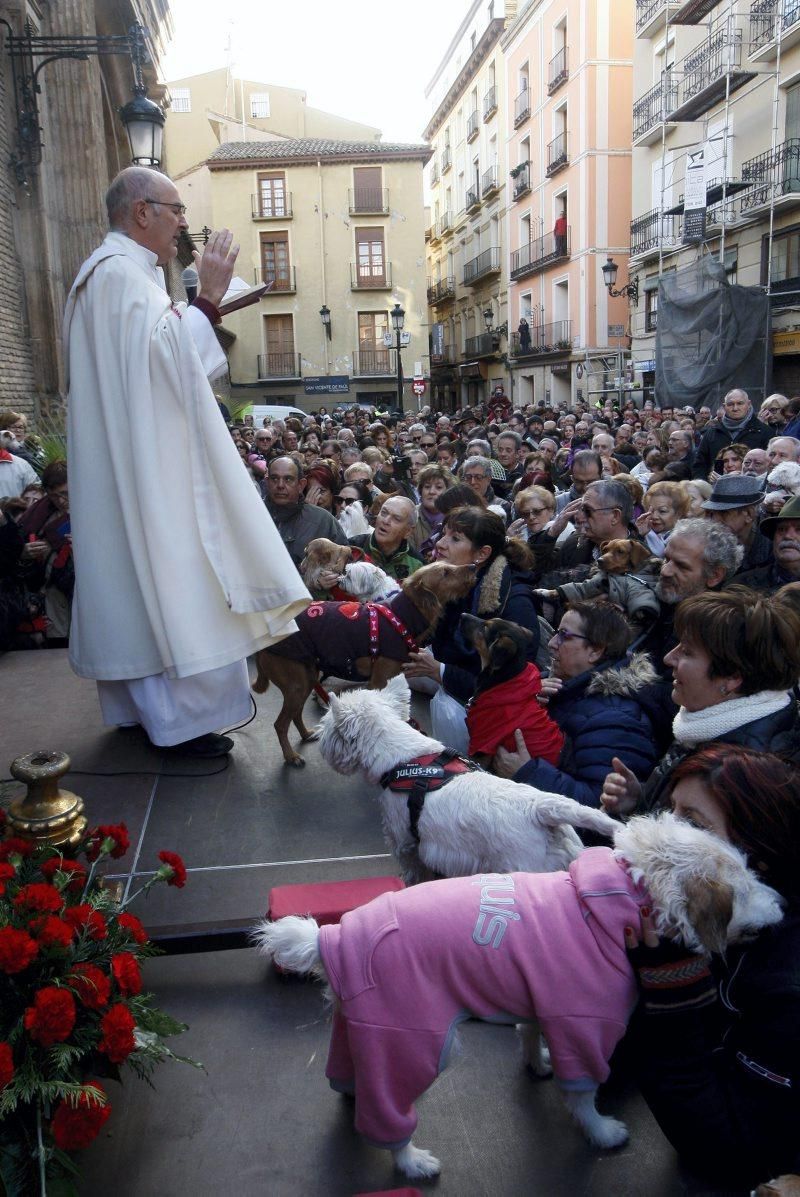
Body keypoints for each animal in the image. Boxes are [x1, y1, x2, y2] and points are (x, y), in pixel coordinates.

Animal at [255, 813, 780, 1177]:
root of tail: (334, 937)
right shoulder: (585, 1027)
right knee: (386, 1118)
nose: (782, 902)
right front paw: (600, 1132)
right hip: (411, 1041)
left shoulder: (539, 1001)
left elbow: (529, 1035)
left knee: (348, 1078)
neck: (626, 897)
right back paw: (412, 1162)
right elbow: (583, 1093)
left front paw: (537, 1064)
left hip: (359, 1028)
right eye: (744, 887)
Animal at [316, 679, 617, 885]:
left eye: (328, 724)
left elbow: (412, 868)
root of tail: (541, 810)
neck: (403, 757)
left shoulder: (404, 839)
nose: (318, 739)